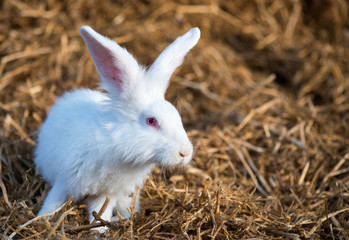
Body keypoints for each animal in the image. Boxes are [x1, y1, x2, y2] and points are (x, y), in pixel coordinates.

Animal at [35, 25, 200, 232]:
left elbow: (100, 213)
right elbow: (53, 202)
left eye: (177, 116)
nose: (185, 153)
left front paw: (100, 231)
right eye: (151, 121)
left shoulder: (107, 193)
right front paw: (40, 220)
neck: (115, 145)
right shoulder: (65, 182)